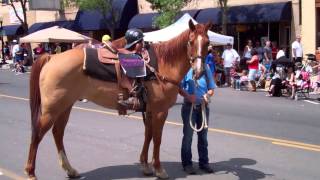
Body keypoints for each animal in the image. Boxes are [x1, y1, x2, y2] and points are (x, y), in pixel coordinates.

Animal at [25, 20, 212, 179]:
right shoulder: (160, 111)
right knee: (37, 133)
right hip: (52, 109)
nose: (199, 72)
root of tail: (52, 57)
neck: (162, 64)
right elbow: (157, 139)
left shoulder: (150, 110)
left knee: (58, 132)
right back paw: (31, 172)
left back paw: (70, 170)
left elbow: (148, 135)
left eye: (208, 44)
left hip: (65, 106)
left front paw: (145, 166)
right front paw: (159, 169)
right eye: (191, 42)